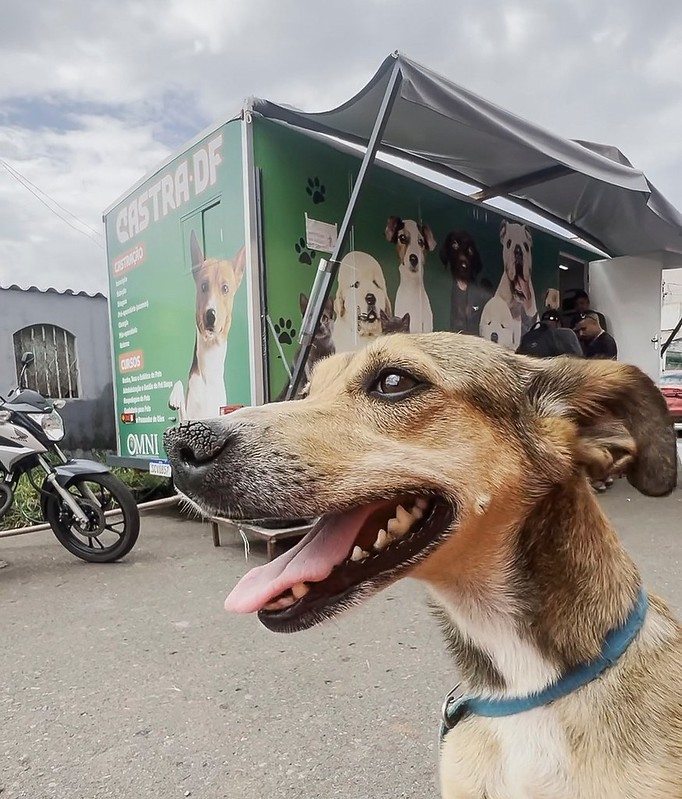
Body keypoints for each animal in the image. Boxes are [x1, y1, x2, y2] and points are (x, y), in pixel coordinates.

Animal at [167, 231, 244, 422]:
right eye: (203, 285)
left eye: (225, 288)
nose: (211, 315)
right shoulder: (188, 418)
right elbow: (179, 386)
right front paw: (174, 397)